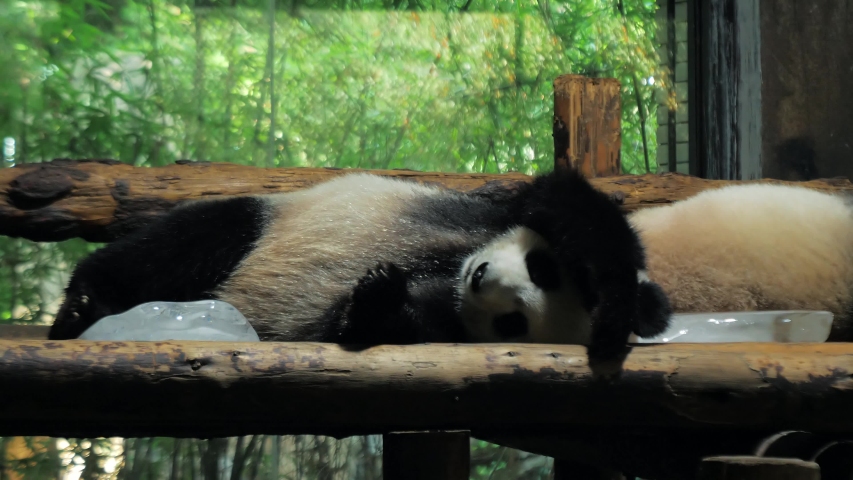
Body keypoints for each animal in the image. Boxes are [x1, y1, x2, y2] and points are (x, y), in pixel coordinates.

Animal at [48, 168, 673, 364]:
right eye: (541, 268)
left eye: (514, 321)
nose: (484, 279)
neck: (448, 271)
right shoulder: (491, 211)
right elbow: (567, 202)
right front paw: (619, 306)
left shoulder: (447, 322)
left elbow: (356, 322)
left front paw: (379, 297)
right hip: (263, 221)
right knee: (190, 240)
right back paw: (84, 303)